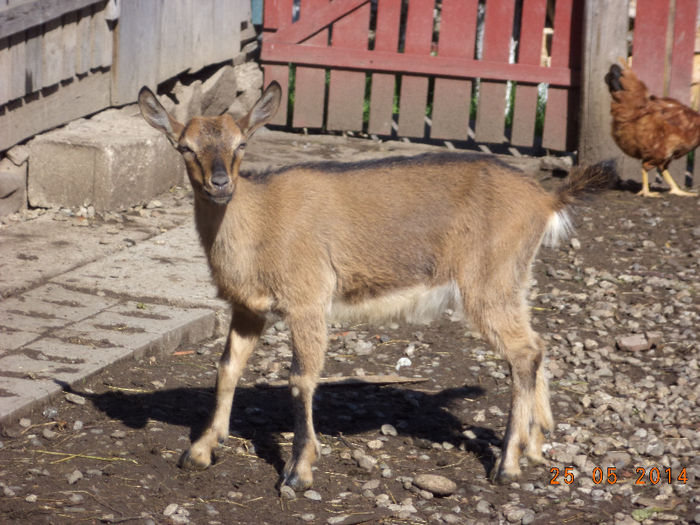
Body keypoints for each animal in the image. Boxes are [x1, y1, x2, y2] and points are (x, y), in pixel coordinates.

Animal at [138, 82, 616, 492]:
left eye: (241, 145)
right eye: (185, 147)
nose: (220, 184)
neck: (259, 223)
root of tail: (545, 199)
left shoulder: (307, 299)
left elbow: (301, 378)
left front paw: (298, 471)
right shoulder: (248, 309)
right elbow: (226, 369)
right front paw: (199, 451)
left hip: (487, 280)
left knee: (523, 352)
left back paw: (507, 465)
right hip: (514, 278)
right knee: (538, 343)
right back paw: (535, 448)